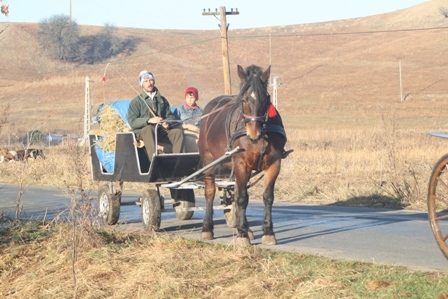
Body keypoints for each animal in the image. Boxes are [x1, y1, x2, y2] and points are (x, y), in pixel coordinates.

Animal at [199, 63, 288, 246]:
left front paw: (268, 232)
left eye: (266, 98)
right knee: (210, 192)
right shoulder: (241, 164)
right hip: (208, 160)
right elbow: (241, 198)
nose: (253, 133)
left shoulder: (274, 164)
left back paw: (247, 229)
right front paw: (241, 235)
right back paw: (207, 228)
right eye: (244, 99)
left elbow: (267, 197)